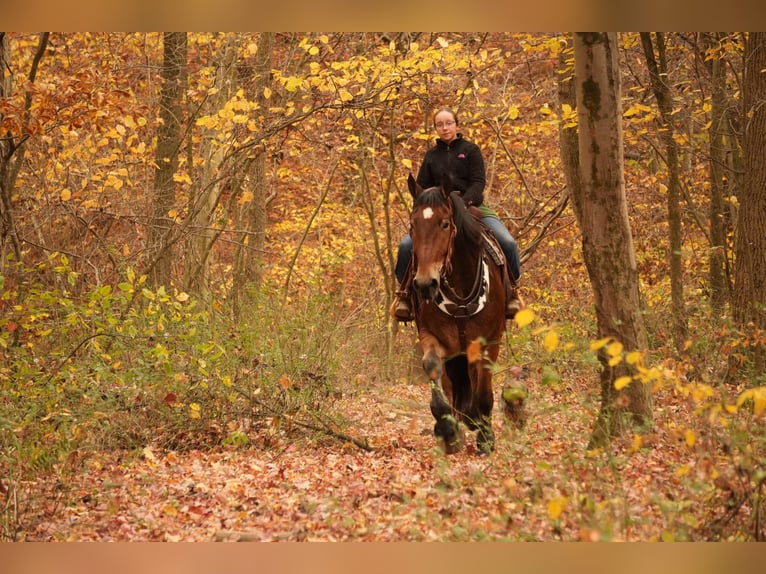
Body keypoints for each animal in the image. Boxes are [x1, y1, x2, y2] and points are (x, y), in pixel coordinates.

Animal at [408, 173, 510, 456]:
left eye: (445, 224)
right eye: (412, 225)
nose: (425, 284)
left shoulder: (489, 341)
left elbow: (484, 392)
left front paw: (485, 438)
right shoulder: (431, 335)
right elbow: (433, 368)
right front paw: (447, 430)